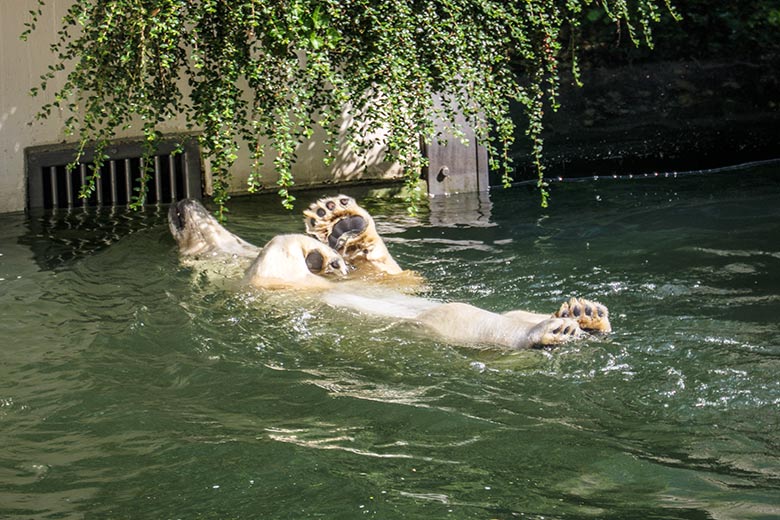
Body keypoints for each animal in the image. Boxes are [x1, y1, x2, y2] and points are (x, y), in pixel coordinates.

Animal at [169, 198, 608, 350]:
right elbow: (269, 261)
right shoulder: (256, 287)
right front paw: (322, 254)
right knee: (467, 317)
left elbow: (397, 279)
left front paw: (339, 229)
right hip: (441, 324)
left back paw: (583, 315)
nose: (184, 203)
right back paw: (554, 329)